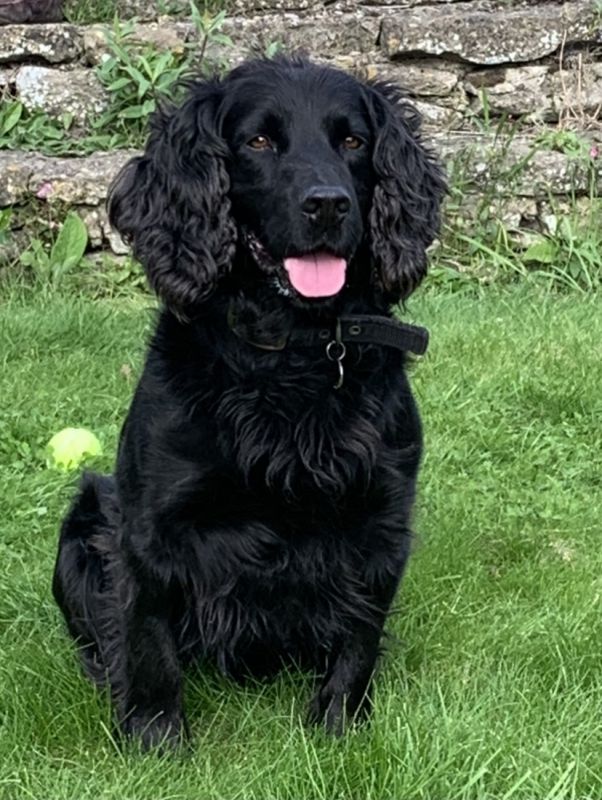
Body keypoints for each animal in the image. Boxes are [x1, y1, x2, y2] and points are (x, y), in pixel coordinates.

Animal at [54, 57, 442, 752]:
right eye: (258, 141)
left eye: (353, 141)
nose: (328, 204)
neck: (291, 353)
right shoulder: (152, 527)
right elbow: (148, 638)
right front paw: (155, 739)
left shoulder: (380, 517)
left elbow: (359, 638)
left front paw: (338, 728)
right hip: (85, 518)